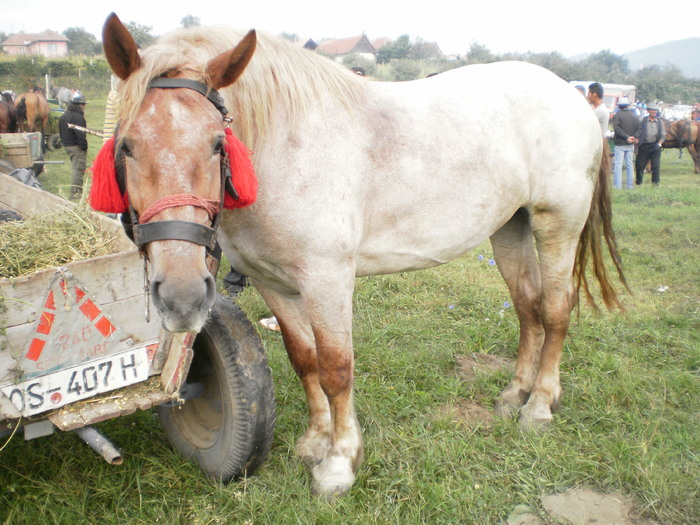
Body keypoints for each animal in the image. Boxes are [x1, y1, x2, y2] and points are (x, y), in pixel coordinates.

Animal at [100, 11, 628, 496]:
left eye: (216, 143)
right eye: (126, 147)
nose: (182, 297)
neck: (286, 149)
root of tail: (572, 99)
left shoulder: (327, 279)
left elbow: (336, 369)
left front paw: (339, 463)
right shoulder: (274, 283)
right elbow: (304, 360)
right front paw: (315, 441)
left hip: (557, 226)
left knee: (556, 311)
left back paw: (539, 405)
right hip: (510, 229)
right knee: (528, 308)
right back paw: (515, 393)